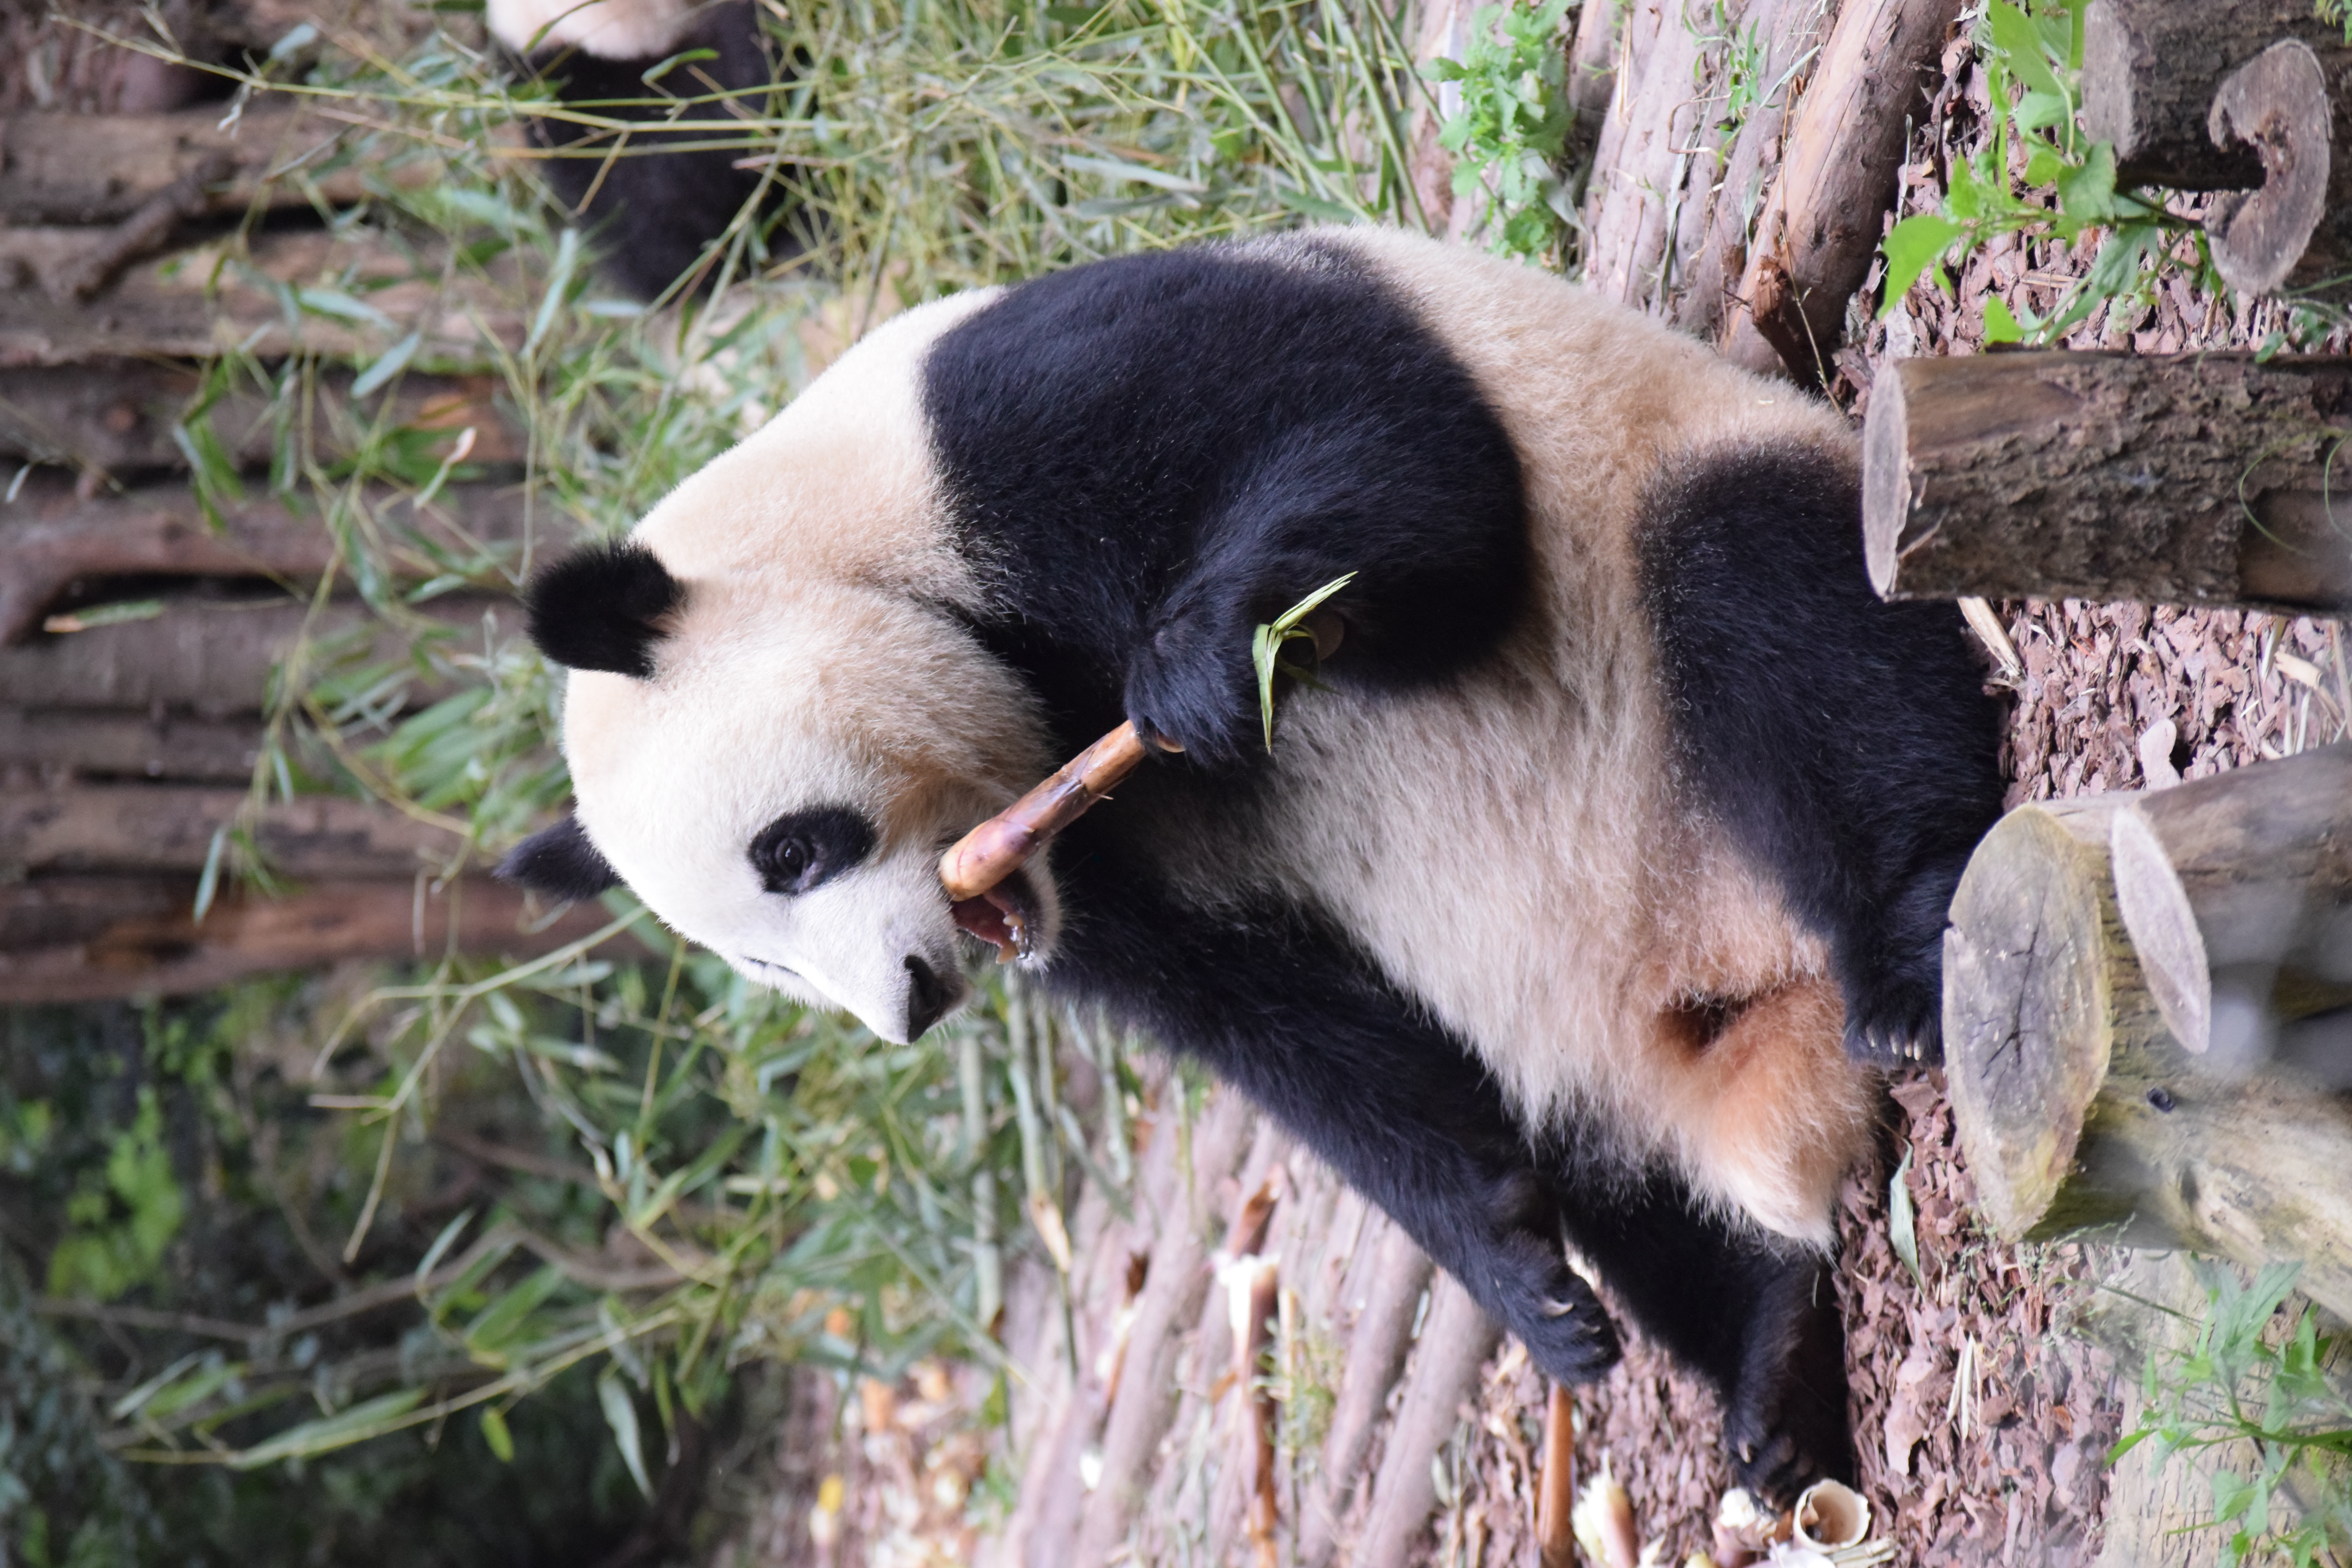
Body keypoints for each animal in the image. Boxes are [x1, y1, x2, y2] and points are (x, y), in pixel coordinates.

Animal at [498, 225, 2008, 1500]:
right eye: (766, 969)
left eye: (794, 847)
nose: (909, 1002)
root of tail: (1752, 1000)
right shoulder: (1105, 887)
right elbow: (1290, 1031)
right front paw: (1518, 1279)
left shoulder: (991, 435)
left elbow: (1388, 464)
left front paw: (1199, 668)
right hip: (1567, 1020)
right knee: (1607, 1155)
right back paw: (1761, 1359)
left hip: (1668, 519)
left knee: (1775, 620)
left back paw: (1899, 960)